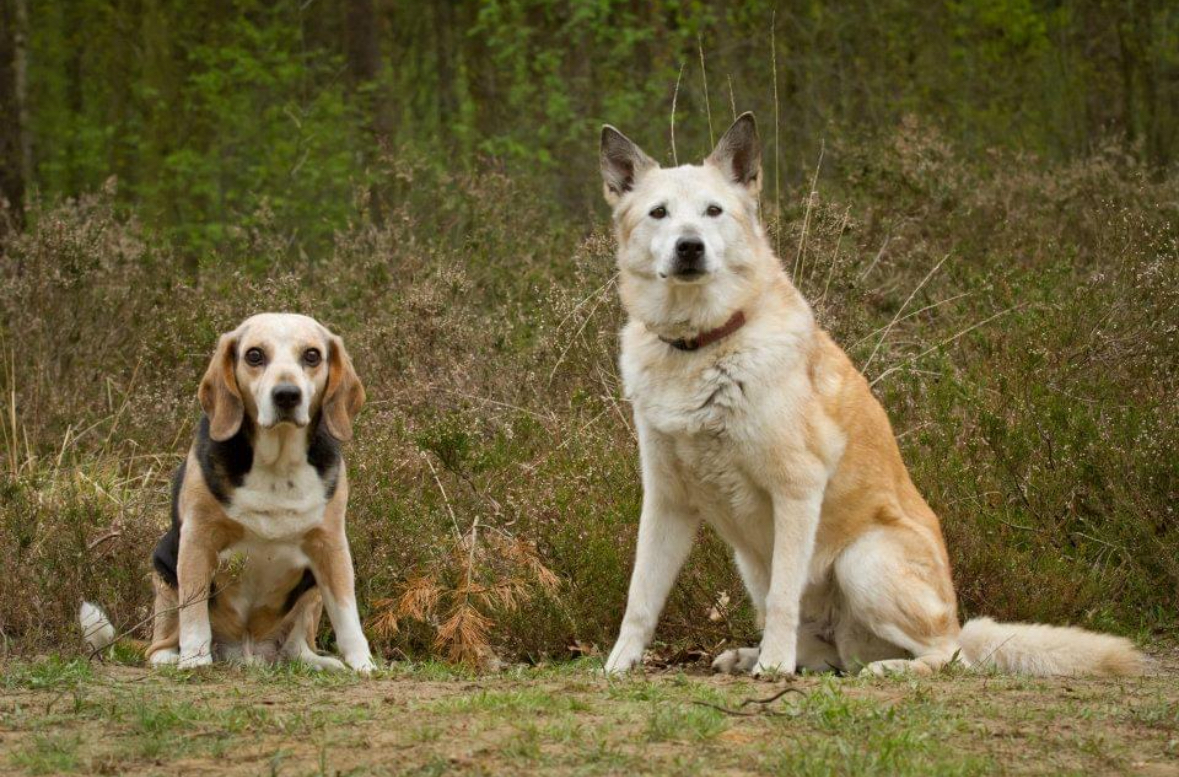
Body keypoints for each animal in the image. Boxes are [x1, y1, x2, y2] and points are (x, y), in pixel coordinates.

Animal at [80, 313, 374, 669]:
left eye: (312, 356)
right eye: (254, 355)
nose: (287, 395)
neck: (278, 464)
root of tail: (248, 653)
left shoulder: (330, 545)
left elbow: (347, 616)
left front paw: (363, 665)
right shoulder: (197, 541)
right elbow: (194, 616)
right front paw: (194, 661)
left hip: (310, 593)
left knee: (296, 648)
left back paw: (320, 662)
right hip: (165, 569)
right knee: (159, 645)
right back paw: (173, 658)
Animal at [598, 112, 1141, 679]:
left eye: (713, 211)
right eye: (659, 213)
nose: (689, 246)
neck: (702, 346)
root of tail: (958, 622)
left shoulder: (796, 489)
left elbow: (783, 600)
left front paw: (773, 669)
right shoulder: (666, 500)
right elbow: (641, 598)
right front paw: (618, 665)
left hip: (862, 560)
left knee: (949, 657)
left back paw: (877, 668)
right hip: (751, 563)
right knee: (830, 655)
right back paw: (755, 656)